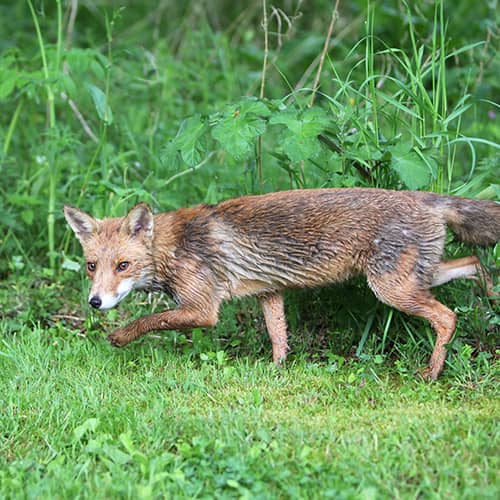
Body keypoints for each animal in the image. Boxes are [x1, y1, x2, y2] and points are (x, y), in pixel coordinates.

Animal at [63, 188, 500, 378]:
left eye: (123, 265)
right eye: (91, 266)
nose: (95, 303)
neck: (174, 247)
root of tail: (428, 197)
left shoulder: (203, 310)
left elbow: (150, 321)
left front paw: (119, 337)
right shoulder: (268, 292)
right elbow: (278, 337)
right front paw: (275, 370)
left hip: (392, 289)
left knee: (447, 317)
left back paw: (432, 373)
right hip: (420, 276)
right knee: (476, 262)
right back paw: (494, 301)